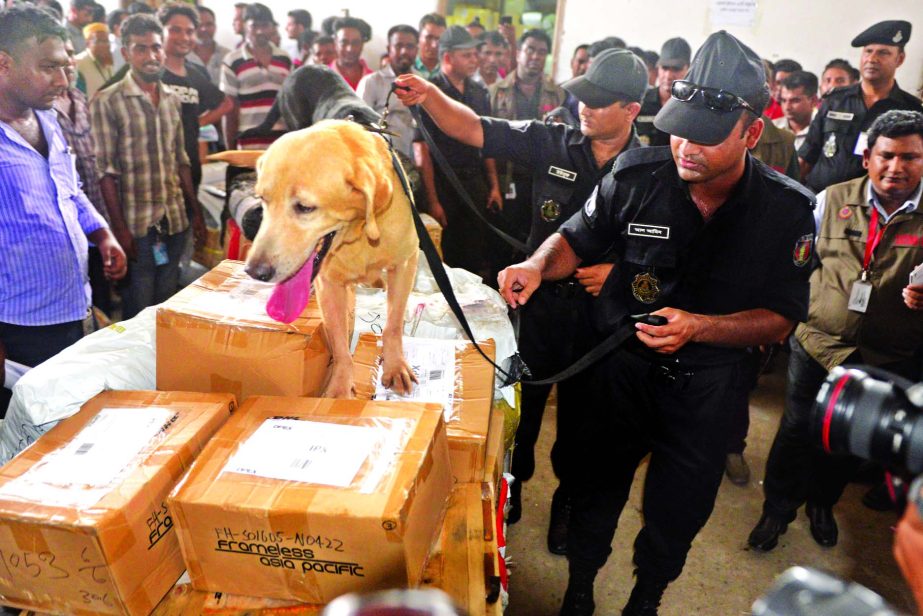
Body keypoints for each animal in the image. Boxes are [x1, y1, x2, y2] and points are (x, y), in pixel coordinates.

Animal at [244, 120, 420, 400]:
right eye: (262, 199)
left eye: (305, 207)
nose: (254, 271)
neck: (359, 230)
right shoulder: (330, 284)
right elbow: (339, 343)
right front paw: (339, 389)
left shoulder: (405, 264)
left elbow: (393, 324)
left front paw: (395, 365)